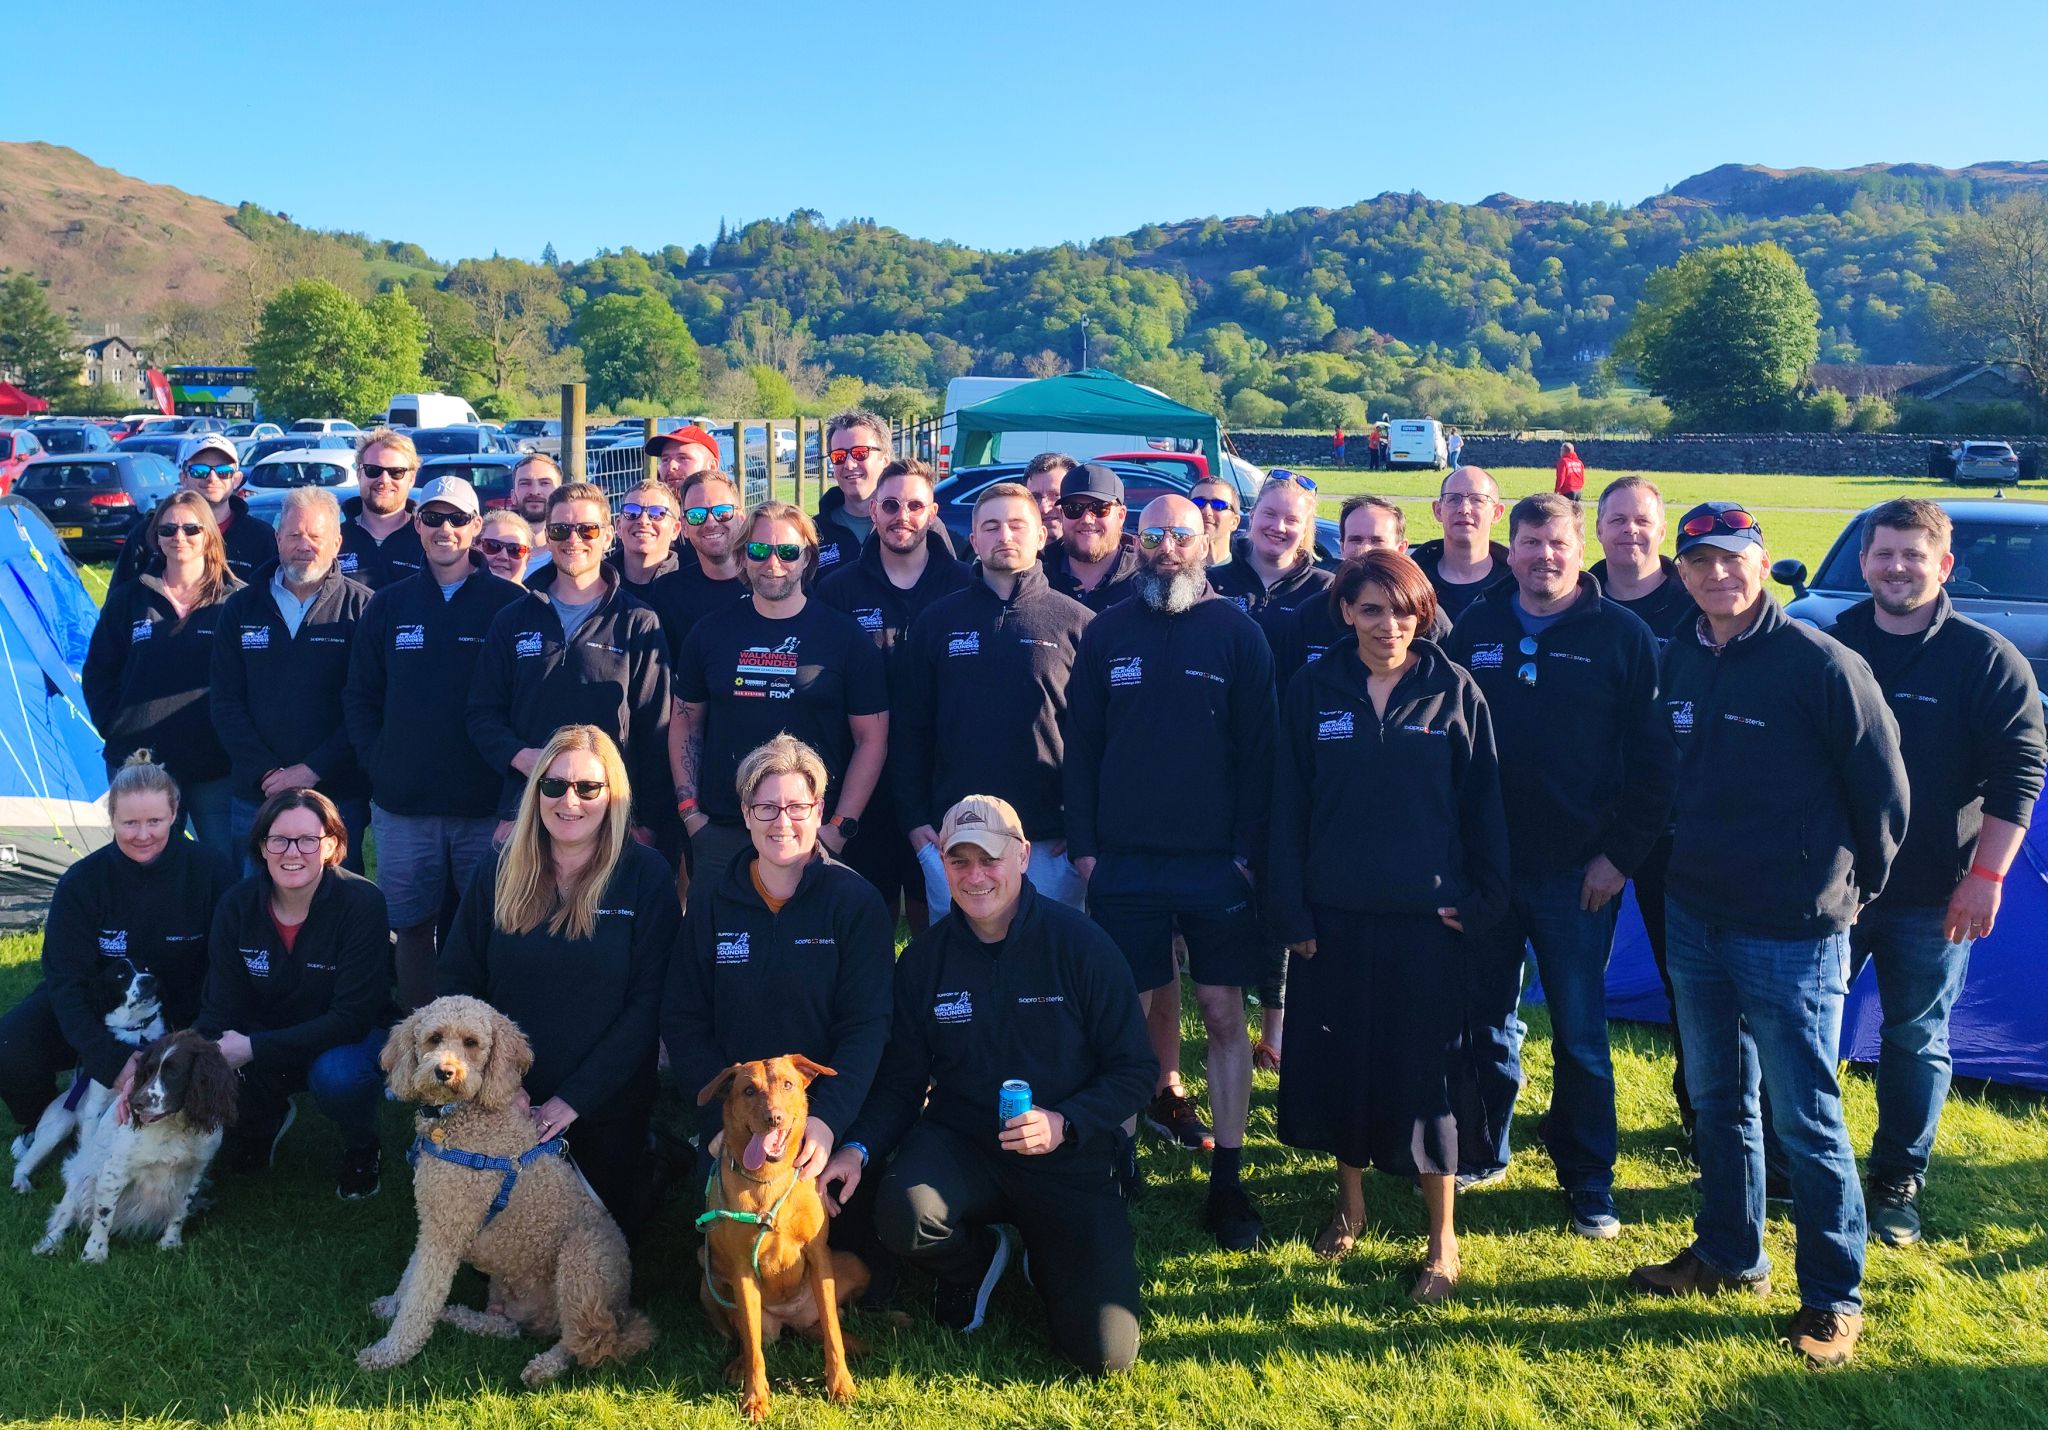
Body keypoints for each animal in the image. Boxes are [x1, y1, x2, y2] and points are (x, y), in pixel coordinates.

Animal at [9, 958, 164, 1188]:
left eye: (145, 968)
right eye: (121, 975)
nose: (149, 980)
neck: (137, 1031)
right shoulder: (95, 1107)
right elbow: (91, 1145)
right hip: (57, 1126)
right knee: (26, 1160)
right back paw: (20, 1181)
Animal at [35, 1024, 235, 1262]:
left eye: (174, 1072)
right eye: (147, 1071)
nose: (135, 1102)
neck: (174, 1128)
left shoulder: (195, 1172)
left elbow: (179, 1212)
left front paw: (170, 1244)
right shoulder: (114, 1170)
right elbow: (104, 1215)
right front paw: (94, 1253)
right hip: (81, 1178)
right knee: (64, 1213)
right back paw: (49, 1244)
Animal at [700, 1048, 868, 1417]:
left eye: (788, 1084)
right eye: (748, 1091)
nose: (774, 1118)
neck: (768, 1179)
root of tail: (791, 1320)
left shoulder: (818, 1256)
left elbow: (832, 1332)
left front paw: (841, 1384)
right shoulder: (743, 1273)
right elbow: (752, 1347)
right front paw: (755, 1398)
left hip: (855, 1267)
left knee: (825, 1324)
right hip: (708, 1281)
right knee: (742, 1337)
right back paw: (737, 1365)